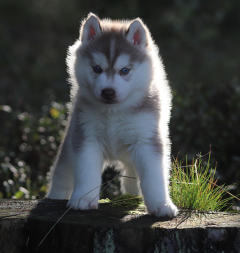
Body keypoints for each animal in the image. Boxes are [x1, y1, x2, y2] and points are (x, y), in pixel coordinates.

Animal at [46, 12, 178, 216]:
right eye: (97, 68)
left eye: (124, 70)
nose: (108, 92)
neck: (114, 112)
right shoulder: (87, 137)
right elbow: (87, 172)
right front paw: (83, 199)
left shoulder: (147, 141)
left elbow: (154, 177)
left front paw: (161, 205)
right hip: (70, 143)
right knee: (62, 175)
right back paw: (56, 197)